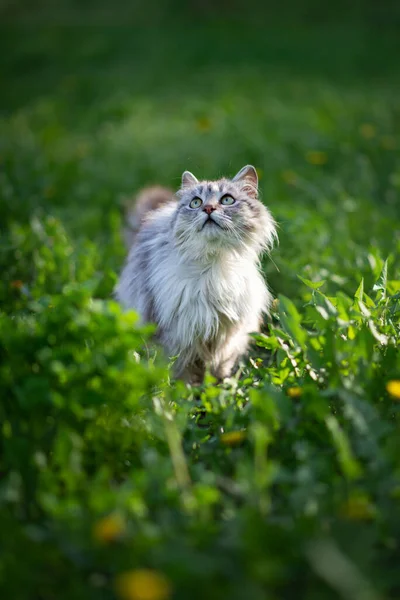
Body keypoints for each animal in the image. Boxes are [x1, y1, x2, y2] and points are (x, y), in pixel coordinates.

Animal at [115, 164, 276, 382]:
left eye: (227, 200)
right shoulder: (177, 336)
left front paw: (219, 386)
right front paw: (188, 389)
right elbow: (182, 372)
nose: (207, 208)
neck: (213, 269)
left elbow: (218, 369)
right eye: (195, 202)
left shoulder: (227, 337)